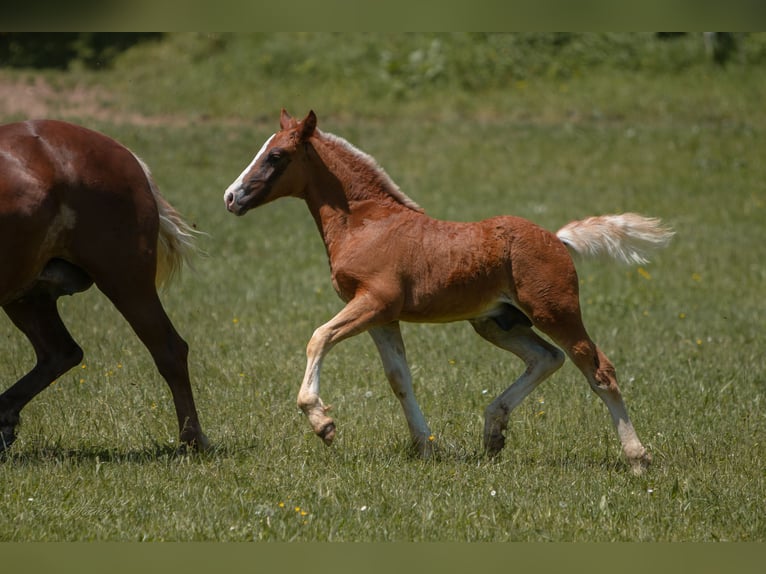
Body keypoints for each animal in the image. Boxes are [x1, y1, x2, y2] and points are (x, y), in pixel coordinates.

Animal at [0, 120, 208, 454]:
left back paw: (192, 439)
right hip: (27, 293)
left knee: (170, 349)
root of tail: (125, 155)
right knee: (60, 352)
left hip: (125, 280)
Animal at [225, 110, 676, 474]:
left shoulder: (374, 302)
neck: (366, 223)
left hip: (554, 311)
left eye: (276, 156)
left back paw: (637, 459)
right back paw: (493, 431)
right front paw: (425, 447)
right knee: (547, 357)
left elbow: (318, 337)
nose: (231, 196)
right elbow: (399, 378)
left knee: (599, 370)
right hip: (497, 322)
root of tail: (558, 239)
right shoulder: (382, 316)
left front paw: (322, 422)